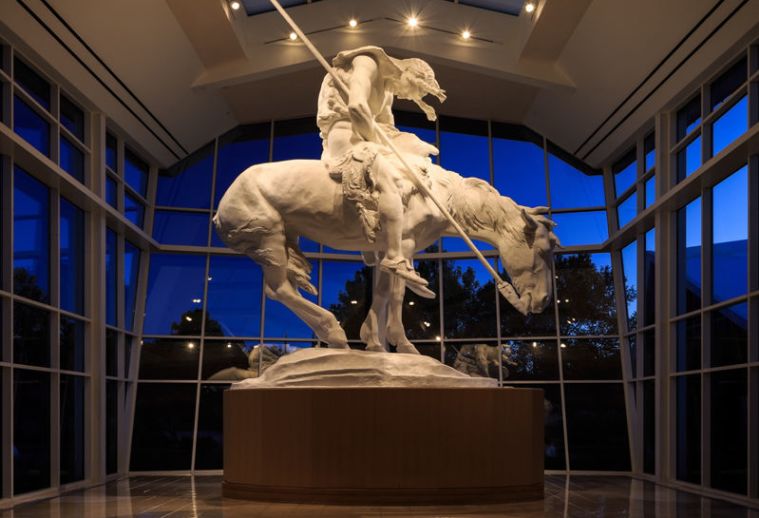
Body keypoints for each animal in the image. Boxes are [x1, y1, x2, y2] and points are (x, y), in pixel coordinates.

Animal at [212, 158, 560, 354]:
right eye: (543, 251)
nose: (543, 301)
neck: (438, 195)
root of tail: (222, 207)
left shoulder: (386, 250)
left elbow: (380, 292)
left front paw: (374, 342)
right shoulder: (403, 245)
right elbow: (397, 294)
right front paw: (403, 345)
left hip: (281, 241)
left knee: (279, 289)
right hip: (269, 239)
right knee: (279, 289)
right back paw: (334, 332)